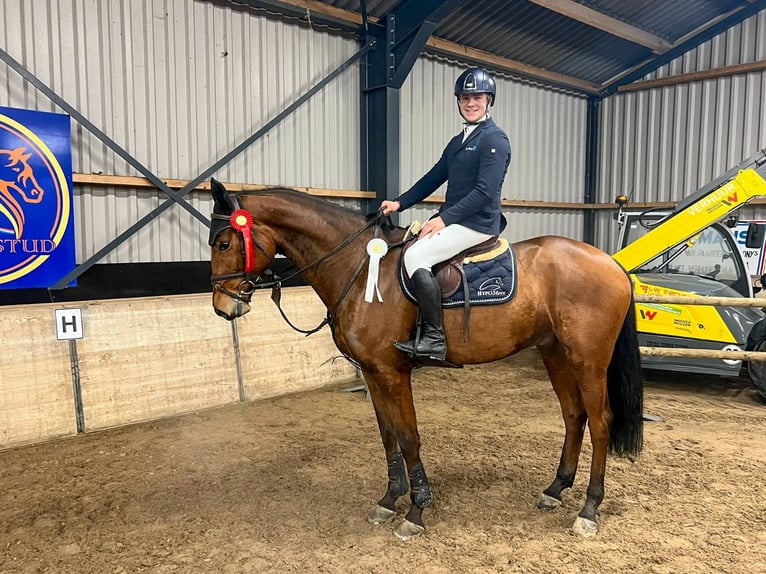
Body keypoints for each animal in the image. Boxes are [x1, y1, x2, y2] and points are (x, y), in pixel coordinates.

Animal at [208, 180, 640, 540]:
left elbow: (409, 436)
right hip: (555, 354)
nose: (222, 307)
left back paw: (588, 509)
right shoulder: (373, 374)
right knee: (574, 415)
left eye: (224, 244)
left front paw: (416, 510)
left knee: (601, 423)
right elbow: (387, 436)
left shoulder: (394, 373)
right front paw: (389, 500)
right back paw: (556, 489)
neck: (360, 268)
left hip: (588, 361)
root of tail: (610, 262)